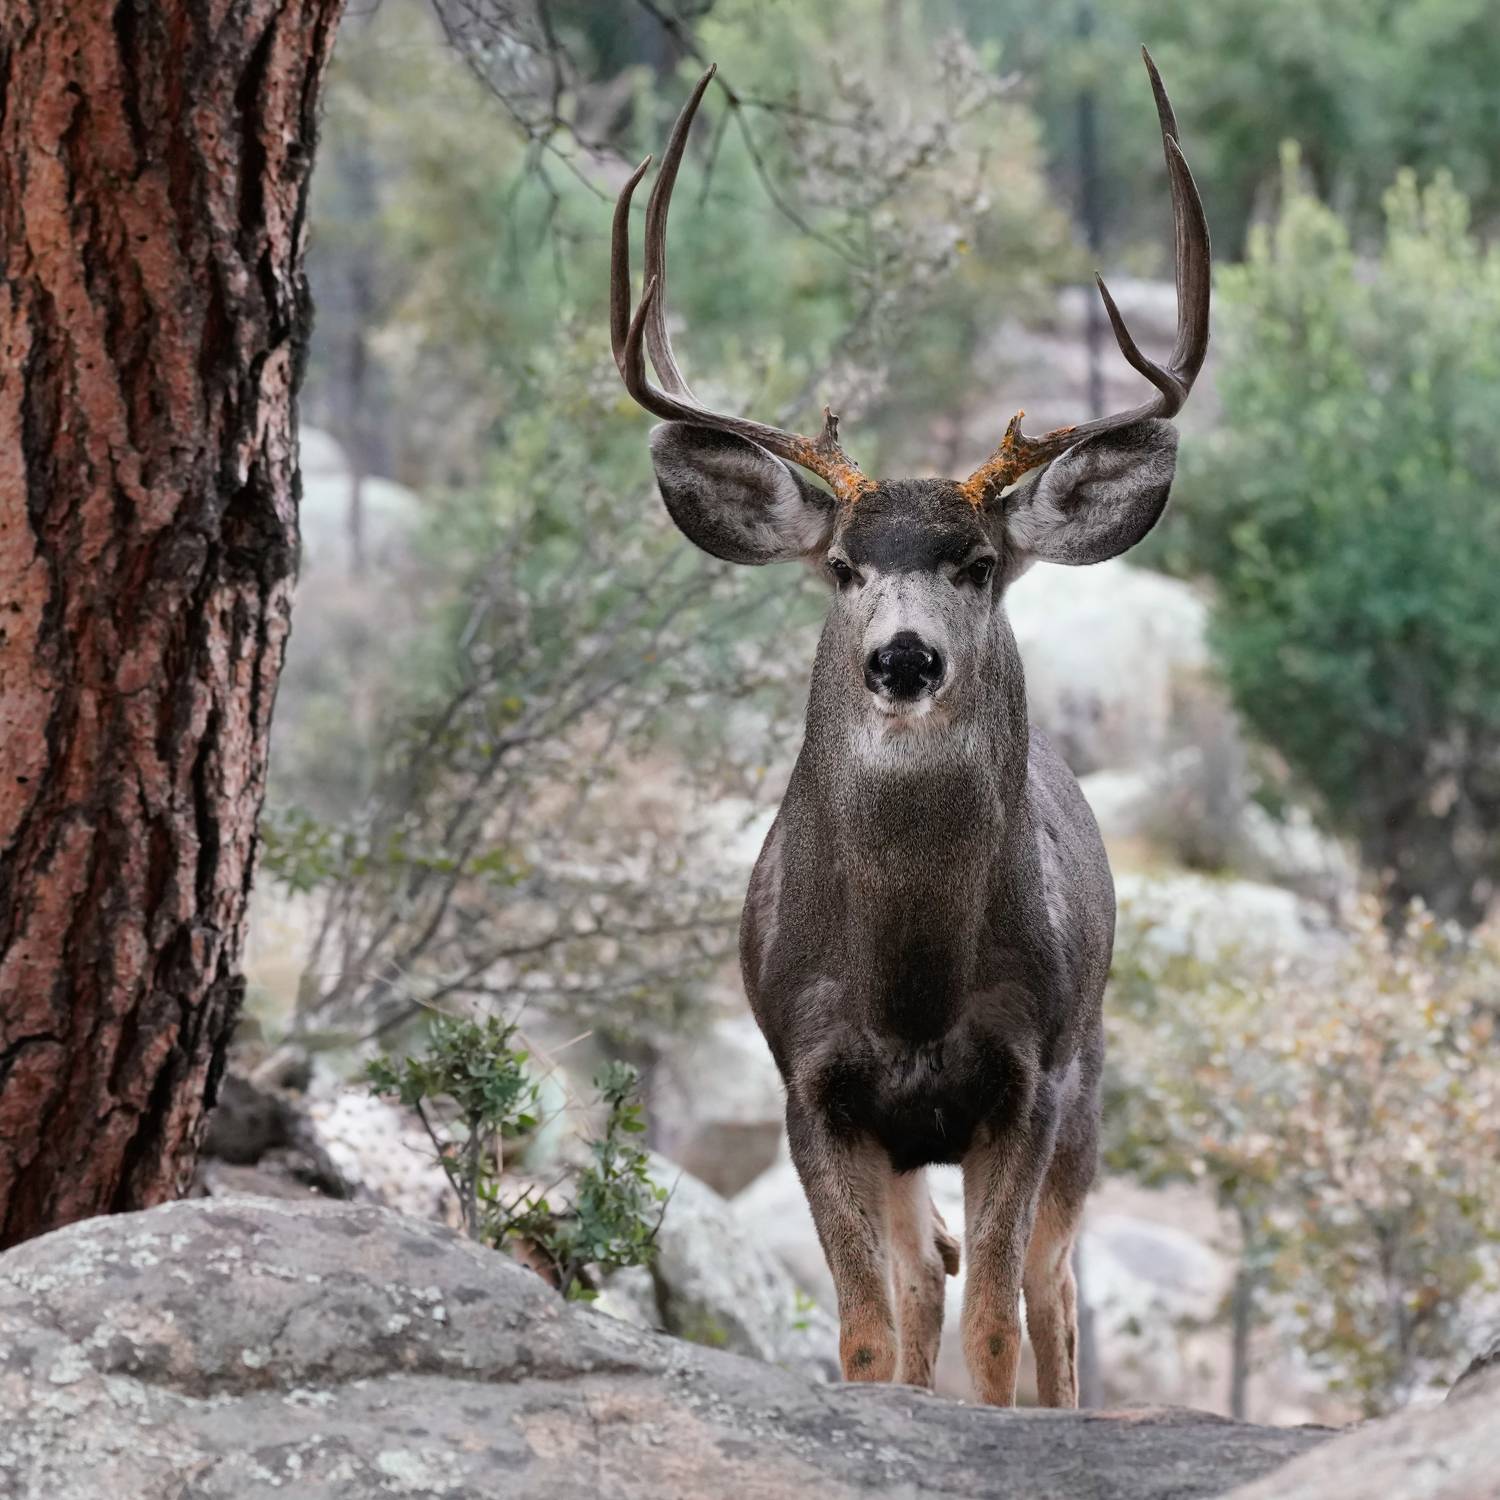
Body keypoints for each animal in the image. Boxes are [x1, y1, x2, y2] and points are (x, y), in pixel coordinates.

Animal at [608, 50, 1209, 1407]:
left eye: (978, 565)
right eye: (841, 567)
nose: (903, 656)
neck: (913, 986)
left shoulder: (1028, 1074)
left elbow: (993, 1324)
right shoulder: (815, 1081)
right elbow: (871, 1331)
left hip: (1094, 1076)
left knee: (1050, 1291)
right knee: (926, 1274)